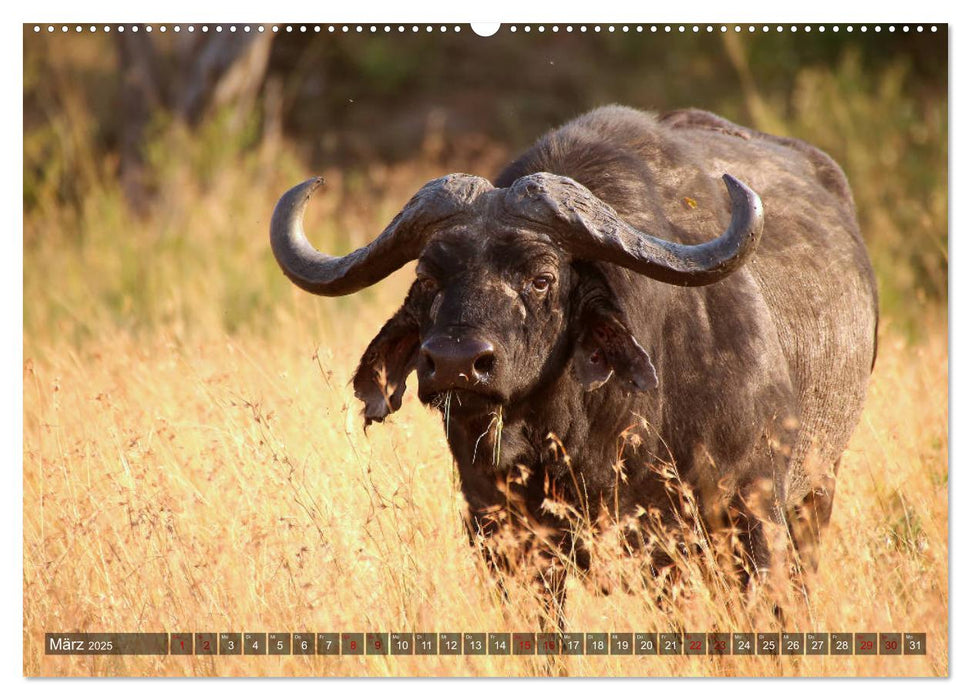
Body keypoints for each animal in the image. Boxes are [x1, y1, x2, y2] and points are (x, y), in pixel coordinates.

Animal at [270, 104, 876, 616]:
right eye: (428, 277)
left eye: (542, 278)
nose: (456, 363)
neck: (593, 436)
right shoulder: (503, 536)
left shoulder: (752, 517)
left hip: (817, 493)